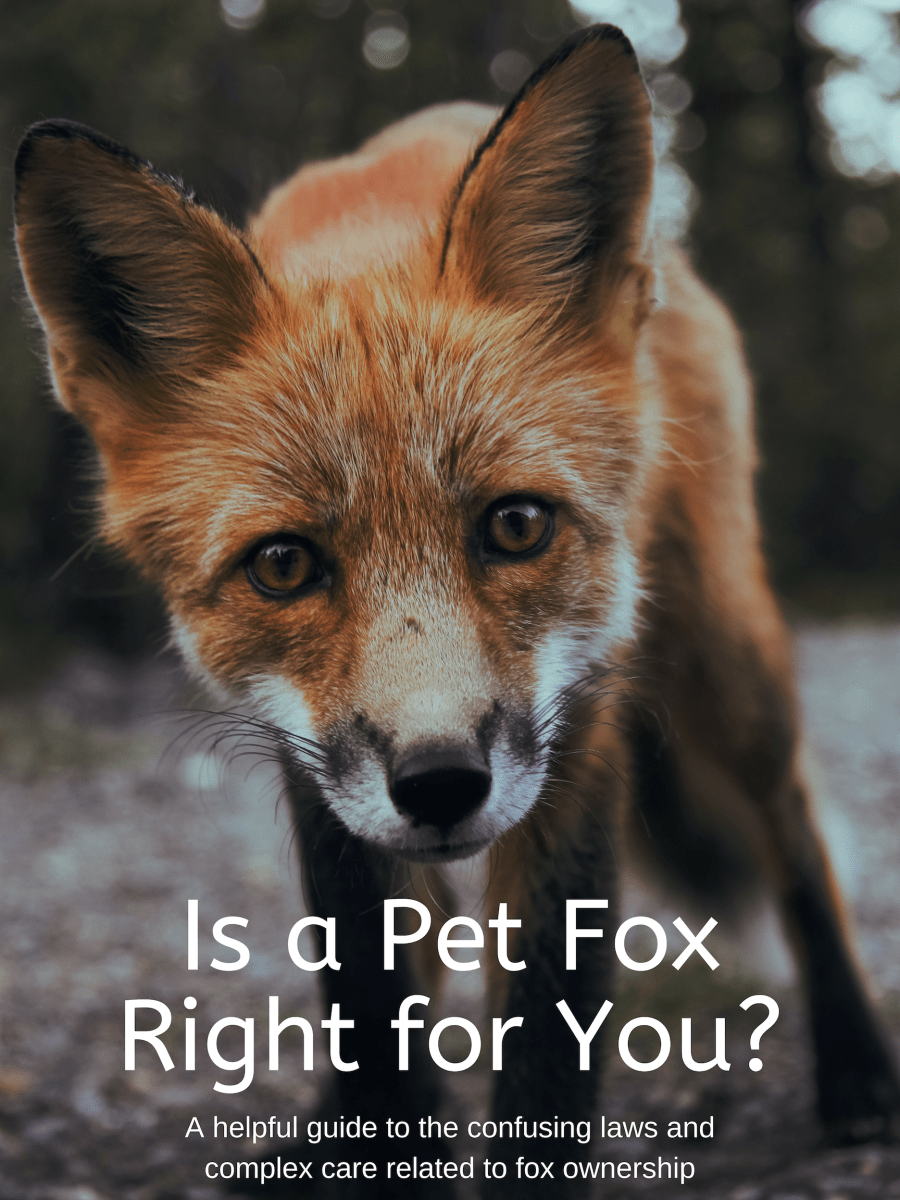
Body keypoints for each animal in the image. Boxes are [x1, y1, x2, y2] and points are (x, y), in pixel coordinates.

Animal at [13, 23, 900, 1198]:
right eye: (284, 565)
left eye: (515, 526)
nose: (440, 783)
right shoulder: (318, 770)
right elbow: (372, 1003)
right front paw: (372, 1134)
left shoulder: (580, 735)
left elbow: (548, 1033)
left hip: (726, 653)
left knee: (792, 826)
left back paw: (857, 1070)